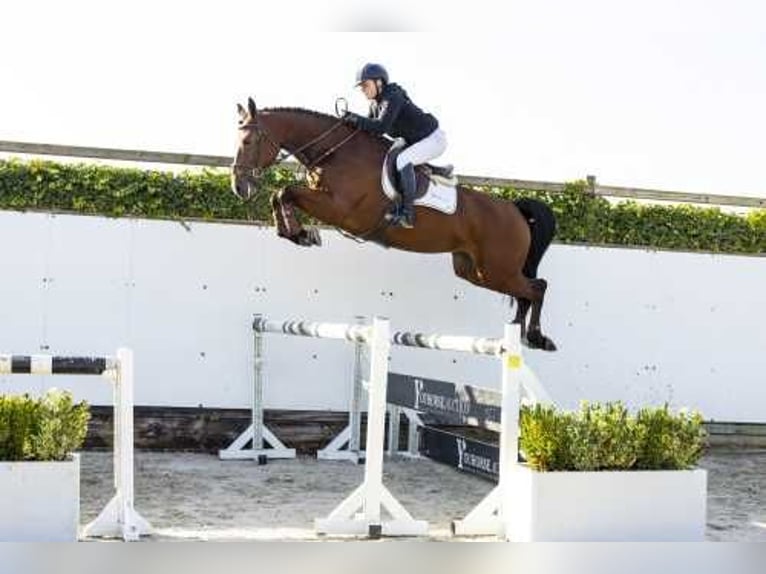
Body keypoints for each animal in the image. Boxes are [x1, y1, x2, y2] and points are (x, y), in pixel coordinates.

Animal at [230, 98, 560, 352]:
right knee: (526, 292)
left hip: (497, 269)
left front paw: (300, 233)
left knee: (537, 287)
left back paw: (535, 337)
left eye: (248, 141)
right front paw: (296, 233)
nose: (239, 187)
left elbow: (285, 191)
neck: (336, 153)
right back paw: (518, 333)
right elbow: (280, 194)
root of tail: (513, 208)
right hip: (475, 271)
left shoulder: (341, 210)